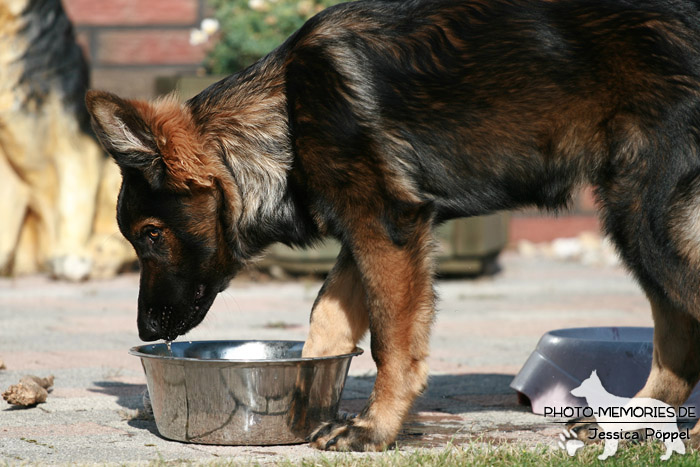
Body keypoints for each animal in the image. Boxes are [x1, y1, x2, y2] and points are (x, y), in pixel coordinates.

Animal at [89, 0, 700, 454]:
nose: (146, 329)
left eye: (150, 235)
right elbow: (327, 314)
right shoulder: (367, 227)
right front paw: (309, 392)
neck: (285, 113)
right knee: (677, 334)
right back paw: (635, 420)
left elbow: (389, 341)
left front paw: (373, 428)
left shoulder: (386, 225)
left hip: (645, 218)